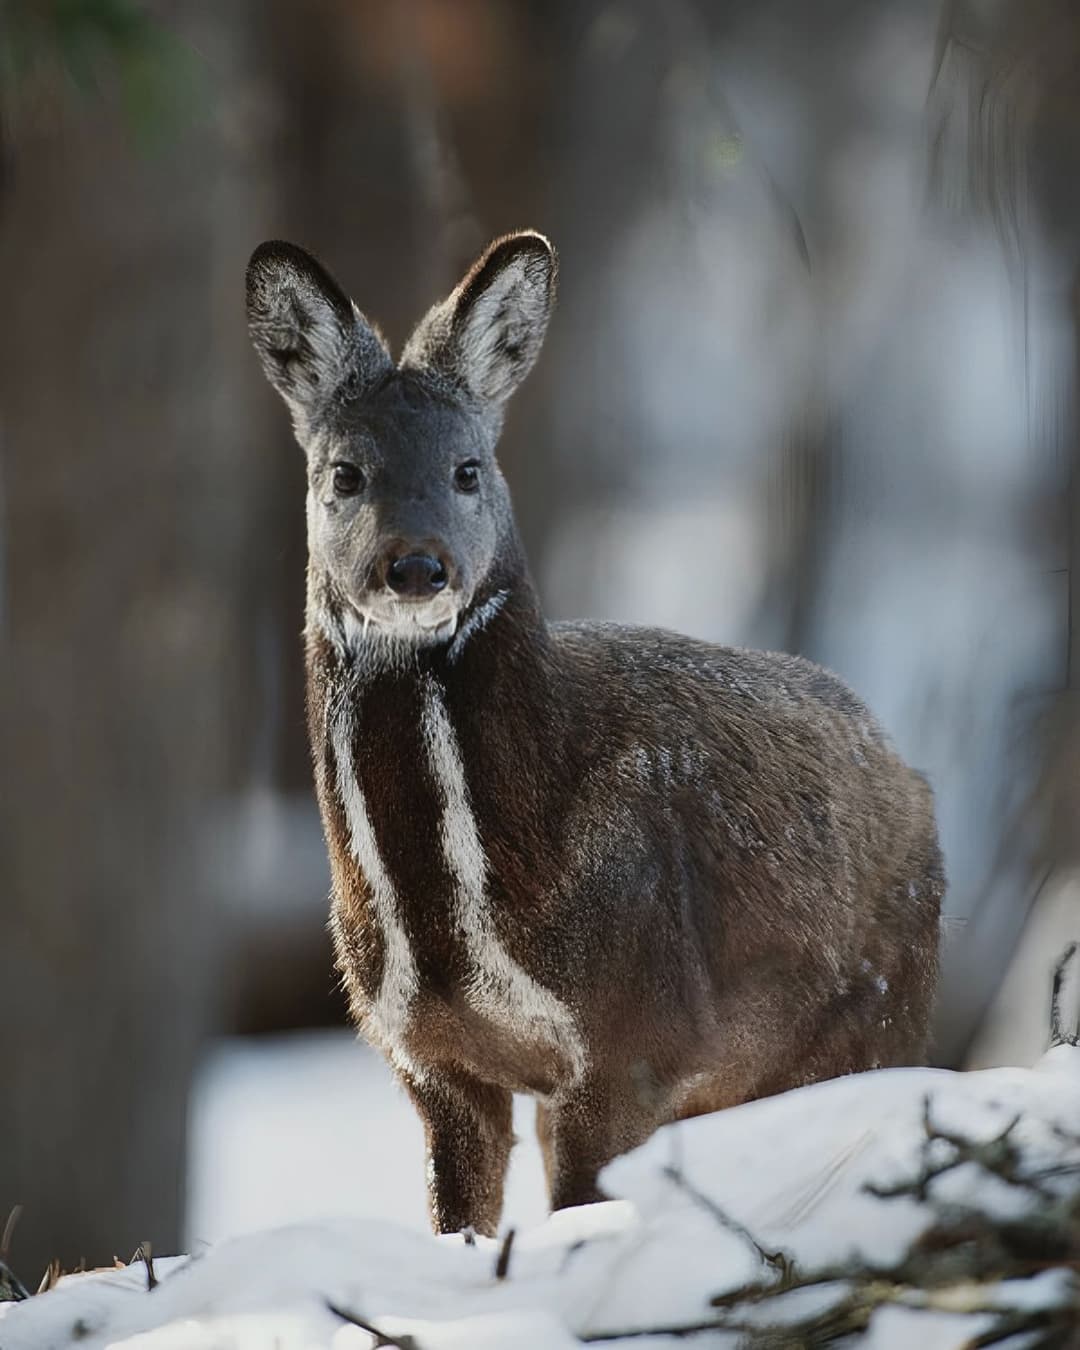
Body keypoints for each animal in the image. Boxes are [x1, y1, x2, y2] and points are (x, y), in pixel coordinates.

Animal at [245, 229, 945, 1238]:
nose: (415, 567)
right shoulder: (425, 1058)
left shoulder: (635, 1037)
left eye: (468, 468)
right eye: (345, 472)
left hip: (882, 1013)